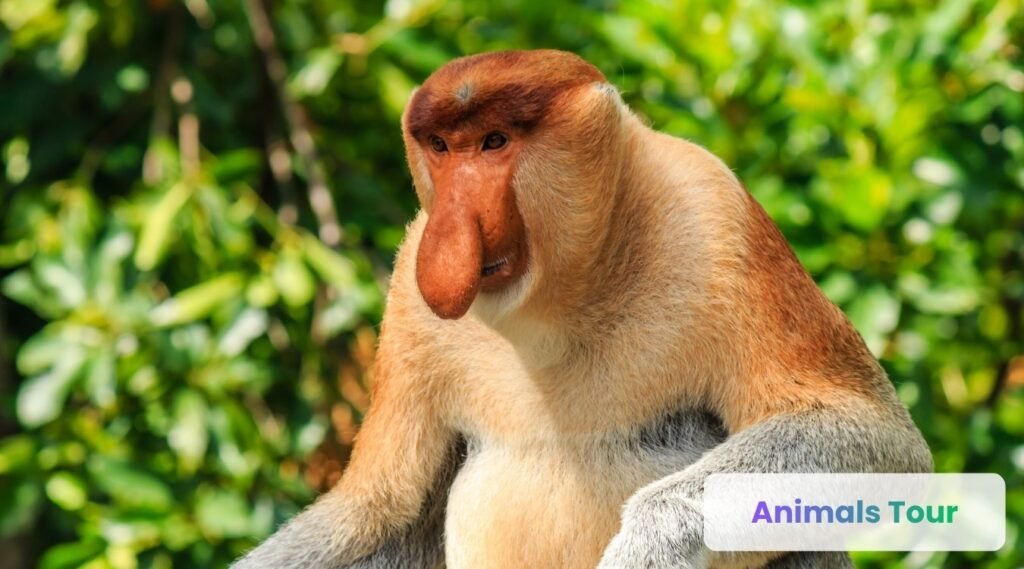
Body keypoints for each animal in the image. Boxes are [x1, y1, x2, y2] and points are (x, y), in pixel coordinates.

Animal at [233, 50, 932, 569]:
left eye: (494, 142)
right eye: (440, 147)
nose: (450, 235)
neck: (559, 304)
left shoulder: (717, 216)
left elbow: (871, 432)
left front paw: (649, 546)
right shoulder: (410, 293)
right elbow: (379, 511)